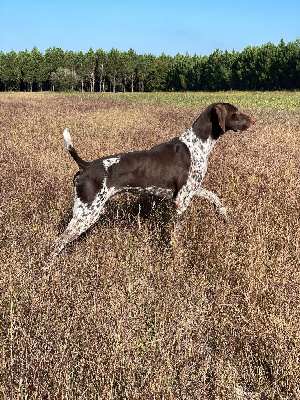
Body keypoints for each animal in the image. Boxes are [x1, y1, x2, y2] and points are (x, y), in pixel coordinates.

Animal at [51, 101, 255, 255]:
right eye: (236, 113)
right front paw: (176, 255)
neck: (197, 144)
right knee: (56, 243)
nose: (254, 120)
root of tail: (85, 166)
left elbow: (214, 197)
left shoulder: (190, 190)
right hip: (86, 213)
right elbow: (176, 234)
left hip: (89, 212)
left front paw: (222, 213)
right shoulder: (181, 200)